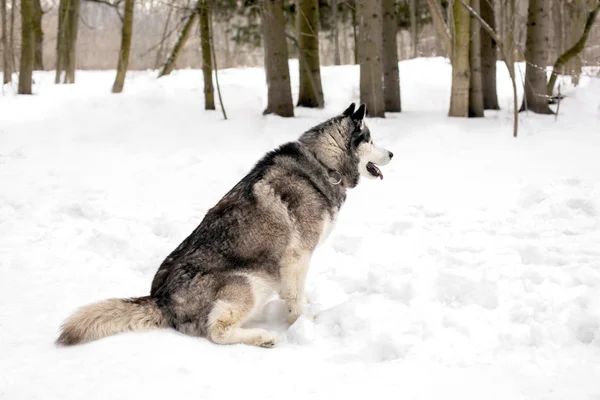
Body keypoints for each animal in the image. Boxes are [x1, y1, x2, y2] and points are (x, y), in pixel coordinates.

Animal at [56, 102, 394, 346]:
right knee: (216, 332)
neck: (322, 163)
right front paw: (302, 324)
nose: (392, 153)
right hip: (249, 283)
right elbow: (295, 299)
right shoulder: (297, 256)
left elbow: (296, 293)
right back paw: (263, 337)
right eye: (372, 140)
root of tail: (160, 299)